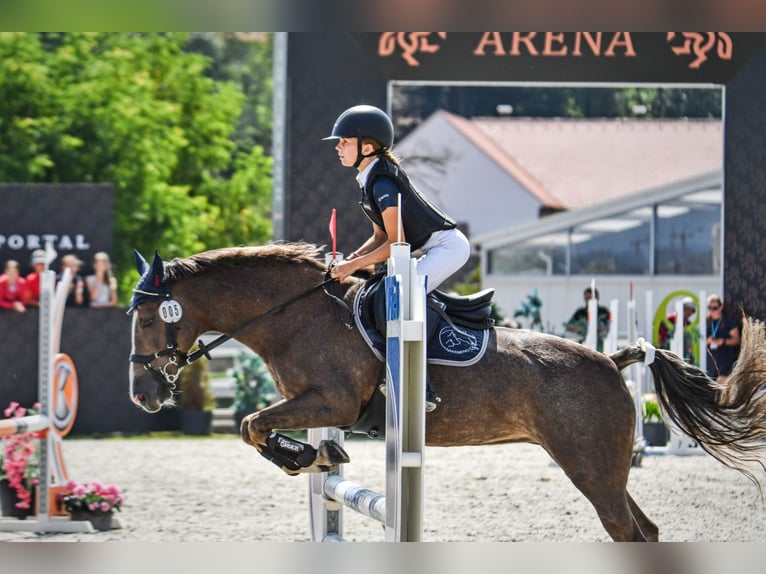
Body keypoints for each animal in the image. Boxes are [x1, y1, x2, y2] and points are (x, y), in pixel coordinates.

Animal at [127, 244, 766, 544]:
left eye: (149, 321)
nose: (143, 397)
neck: (294, 314)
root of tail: (610, 361)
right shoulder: (311, 403)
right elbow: (259, 429)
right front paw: (318, 456)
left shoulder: (332, 401)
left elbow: (252, 424)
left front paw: (303, 455)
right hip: (602, 468)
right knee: (644, 531)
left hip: (590, 466)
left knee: (627, 530)